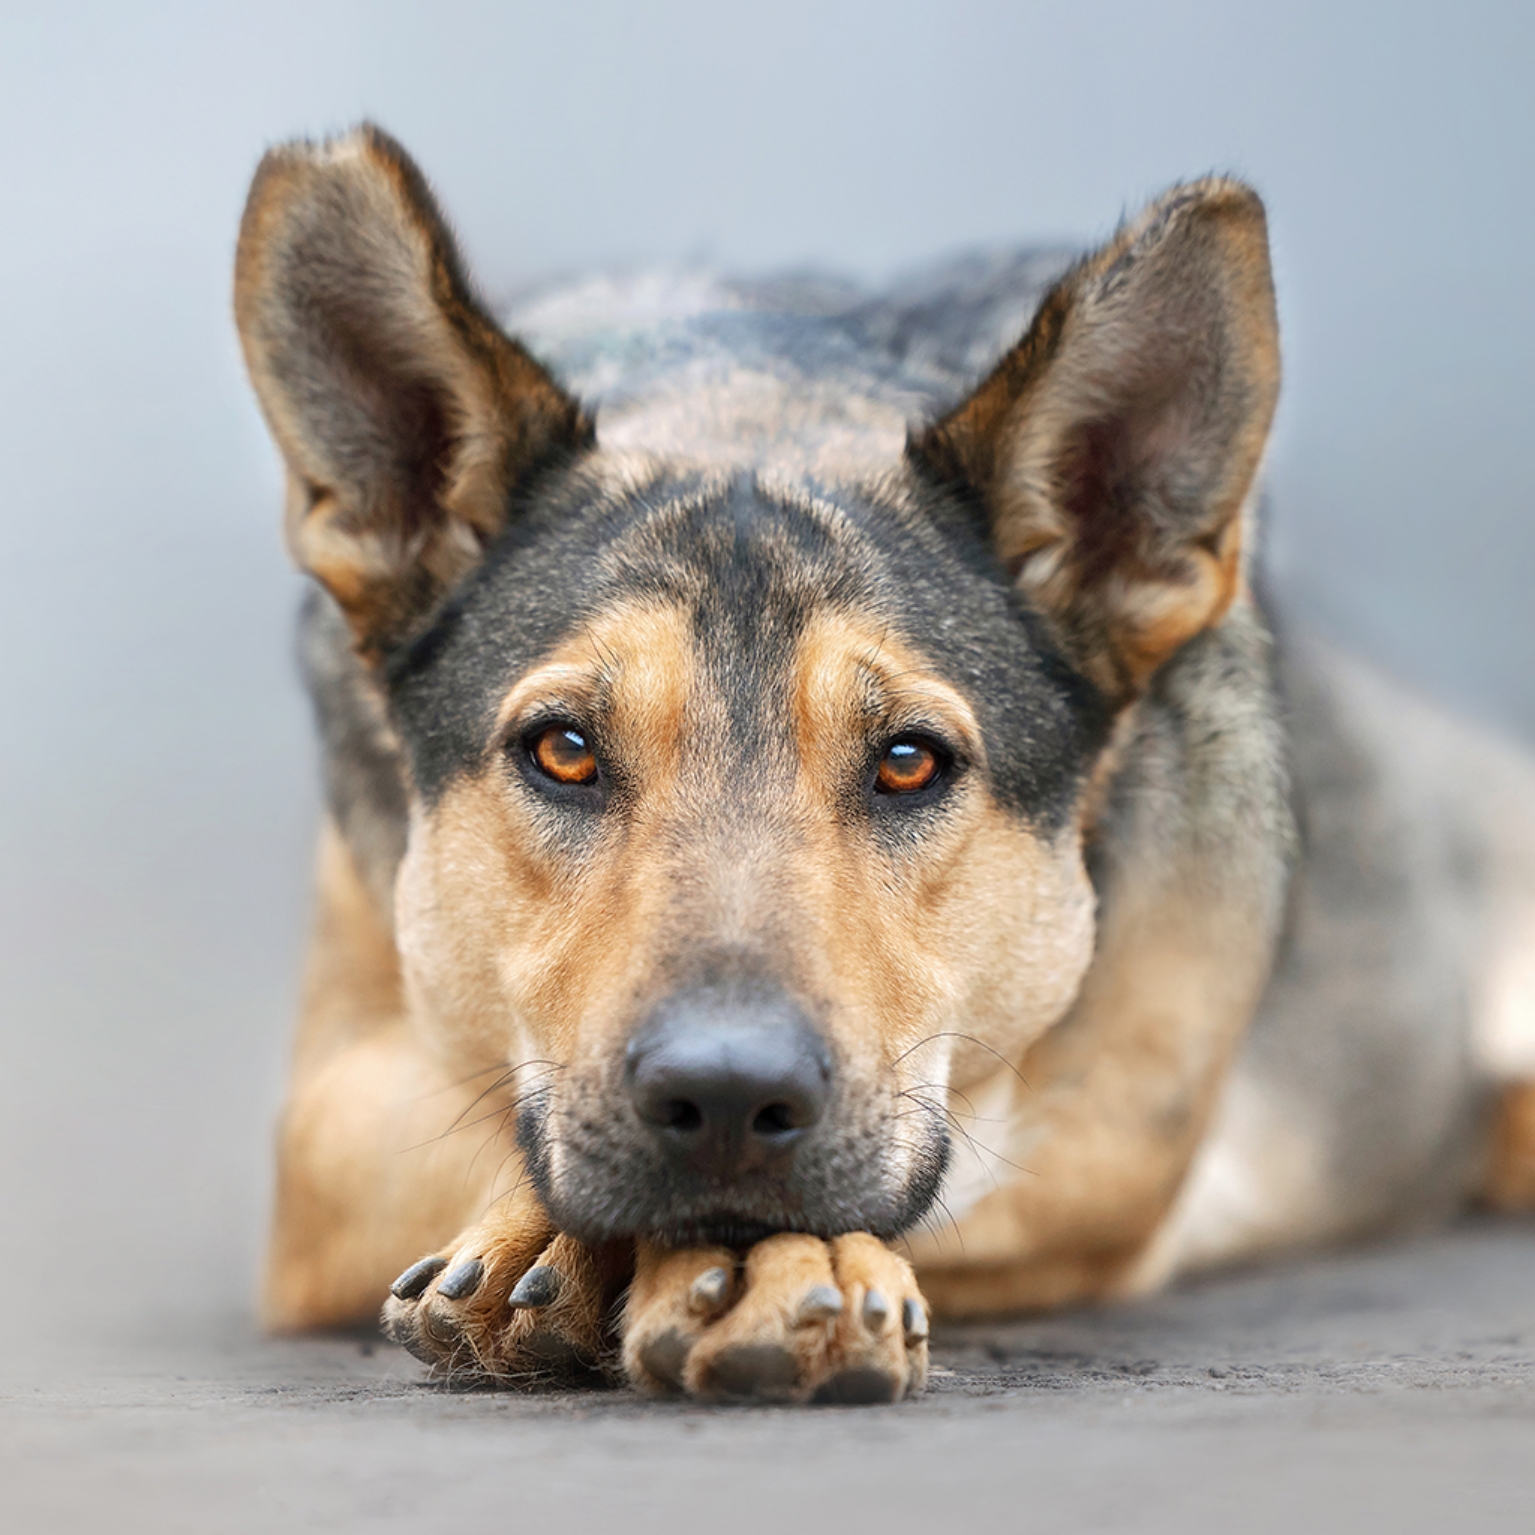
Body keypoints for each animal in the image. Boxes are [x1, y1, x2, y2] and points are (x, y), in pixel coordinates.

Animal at [230, 128, 1535, 1406]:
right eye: (561, 749)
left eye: (908, 761)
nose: (722, 1098)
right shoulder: (324, 1123)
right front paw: (550, 1236)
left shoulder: (1125, 1145)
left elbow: (942, 1170)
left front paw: (770, 1257)